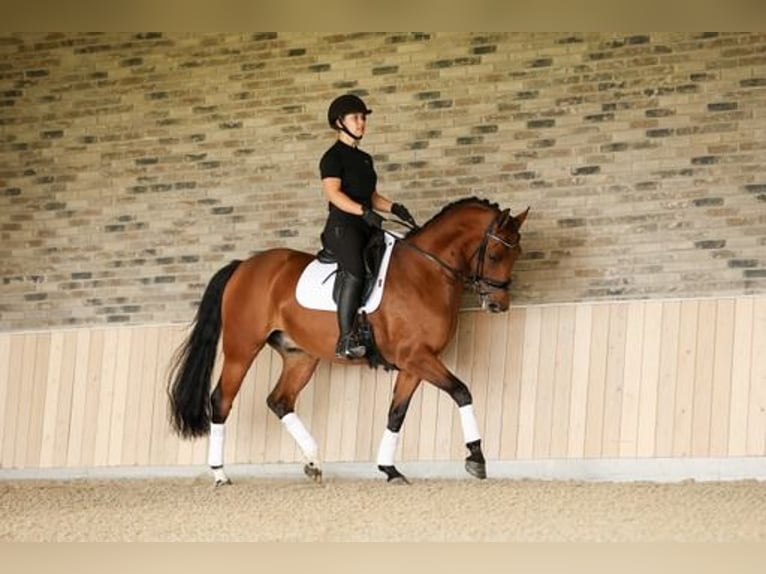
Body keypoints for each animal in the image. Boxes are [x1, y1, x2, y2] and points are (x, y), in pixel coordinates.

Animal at [167, 197, 528, 486]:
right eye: (496, 254)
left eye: (518, 254)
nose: (499, 305)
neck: (425, 271)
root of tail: (243, 266)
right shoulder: (416, 357)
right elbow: (461, 391)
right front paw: (476, 458)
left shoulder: (415, 362)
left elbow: (396, 413)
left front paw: (389, 469)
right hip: (242, 349)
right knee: (221, 401)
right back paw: (220, 474)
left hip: (300, 355)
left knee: (280, 400)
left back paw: (313, 462)